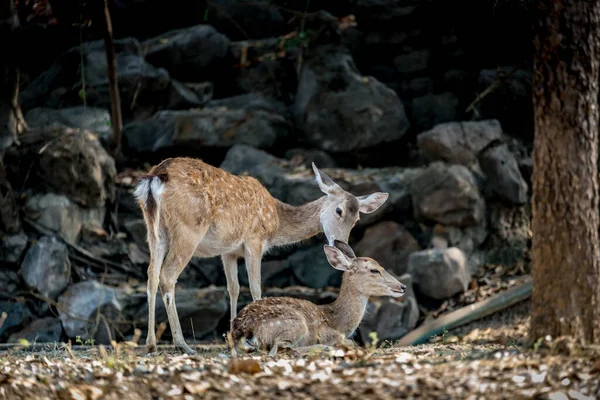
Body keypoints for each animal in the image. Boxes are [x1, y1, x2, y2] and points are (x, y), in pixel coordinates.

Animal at [134, 156, 390, 354]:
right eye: (339, 210)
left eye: (357, 219)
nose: (340, 243)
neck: (276, 221)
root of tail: (155, 178)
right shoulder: (254, 240)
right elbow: (255, 287)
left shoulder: (228, 251)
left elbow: (234, 288)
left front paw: (232, 339)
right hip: (188, 229)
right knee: (168, 276)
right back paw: (182, 344)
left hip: (154, 230)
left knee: (151, 275)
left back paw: (150, 344)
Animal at [231, 241, 408, 356]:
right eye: (374, 270)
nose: (402, 287)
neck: (338, 323)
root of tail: (244, 331)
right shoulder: (329, 334)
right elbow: (351, 342)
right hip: (294, 324)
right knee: (278, 350)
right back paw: (324, 349)